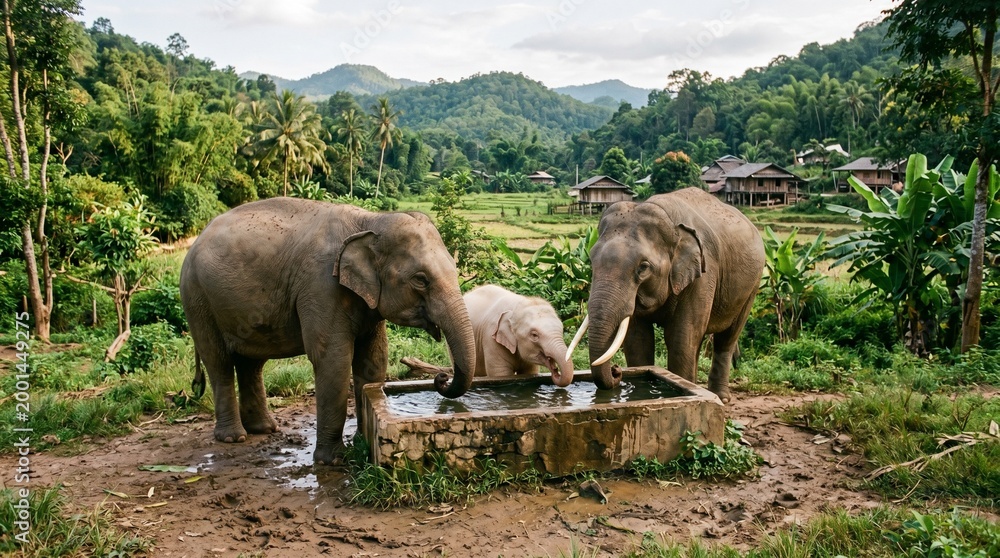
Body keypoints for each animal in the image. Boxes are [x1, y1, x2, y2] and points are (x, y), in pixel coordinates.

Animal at [179, 197, 476, 465]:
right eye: (421, 280)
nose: (441, 378)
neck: (371, 221)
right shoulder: (321, 286)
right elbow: (333, 359)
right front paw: (334, 461)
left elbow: (373, 360)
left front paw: (361, 441)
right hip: (197, 299)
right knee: (219, 361)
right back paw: (234, 437)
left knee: (251, 363)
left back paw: (264, 429)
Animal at [401, 285, 574, 386]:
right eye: (534, 335)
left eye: (561, 329)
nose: (556, 373)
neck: (517, 306)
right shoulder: (491, 339)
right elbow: (500, 373)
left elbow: (530, 372)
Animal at [567, 187, 764, 402]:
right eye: (591, 260)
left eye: (643, 267)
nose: (616, 370)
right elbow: (637, 339)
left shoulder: (704, 274)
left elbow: (681, 338)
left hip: (753, 286)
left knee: (727, 338)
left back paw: (721, 397)